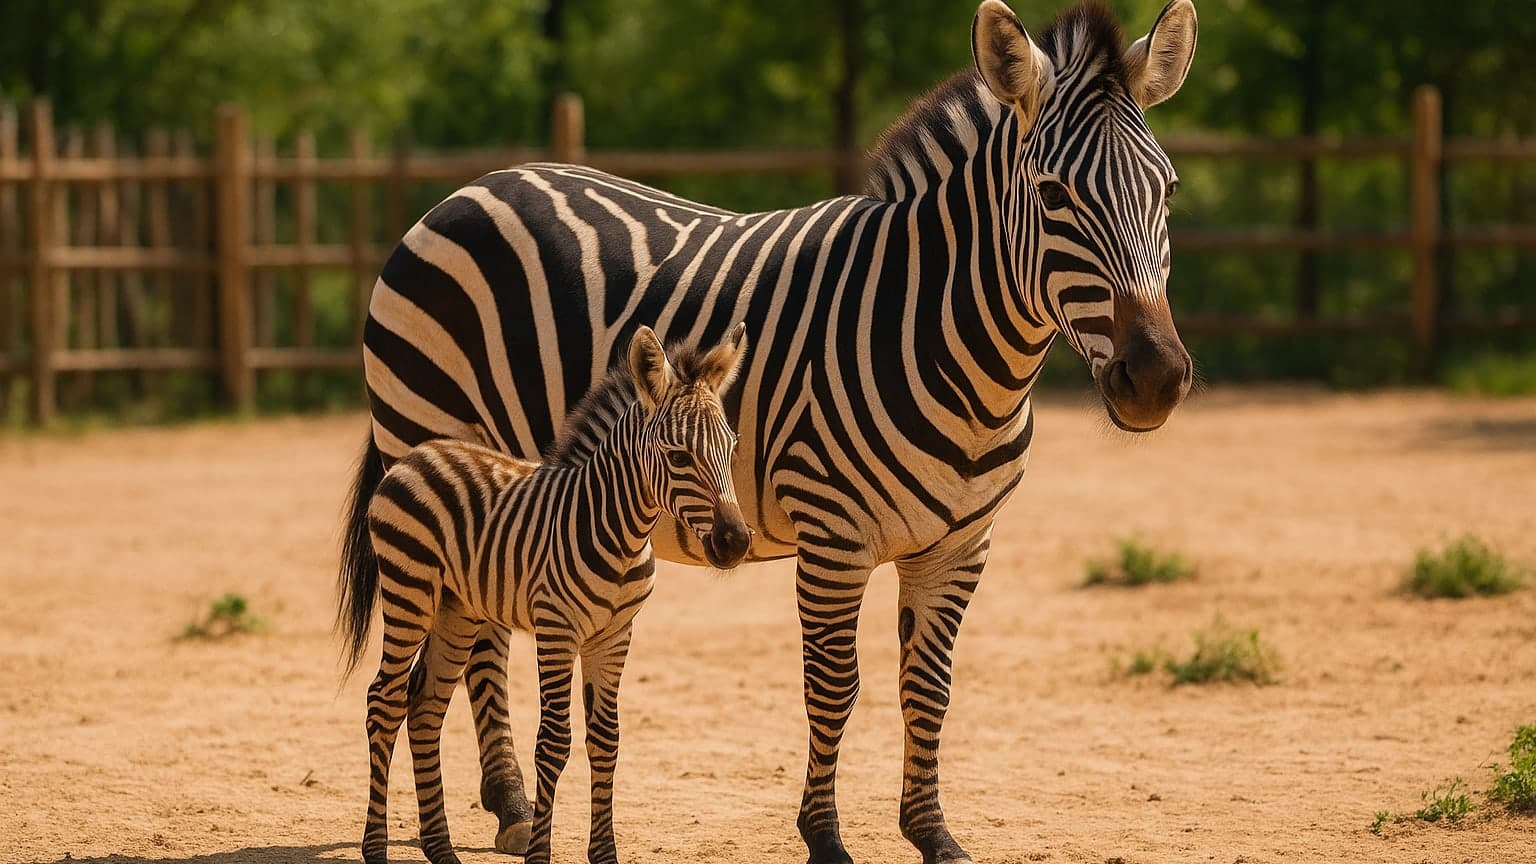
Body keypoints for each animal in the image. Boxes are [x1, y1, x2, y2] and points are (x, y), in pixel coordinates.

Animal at [339, 324, 753, 864]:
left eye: (731, 447)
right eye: (679, 456)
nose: (736, 542)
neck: (617, 529)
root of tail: (418, 453)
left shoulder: (614, 636)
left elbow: (606, 740)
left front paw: (605, 854)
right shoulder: (556, 629)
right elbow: (554, 742)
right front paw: (539, 852)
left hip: (456, 609)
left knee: (425, 706)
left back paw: (442, 850)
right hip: (410, 589)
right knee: (384, 701)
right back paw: (375, 848)